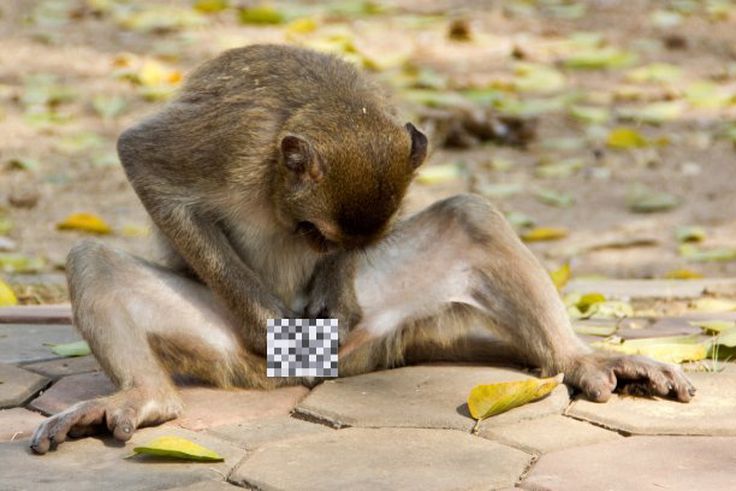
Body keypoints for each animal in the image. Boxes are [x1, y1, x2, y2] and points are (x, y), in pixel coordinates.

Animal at [31, 44, 695, 454]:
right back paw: (150, 396)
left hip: (377, 329)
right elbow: (142, 161)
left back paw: (578, 357)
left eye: (327, 241)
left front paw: (335, 282)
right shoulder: (230, 138)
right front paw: (271, 324)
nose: (280, 330)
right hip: (223, 350)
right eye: (311, 233)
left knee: (471, 217)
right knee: (94, 262)